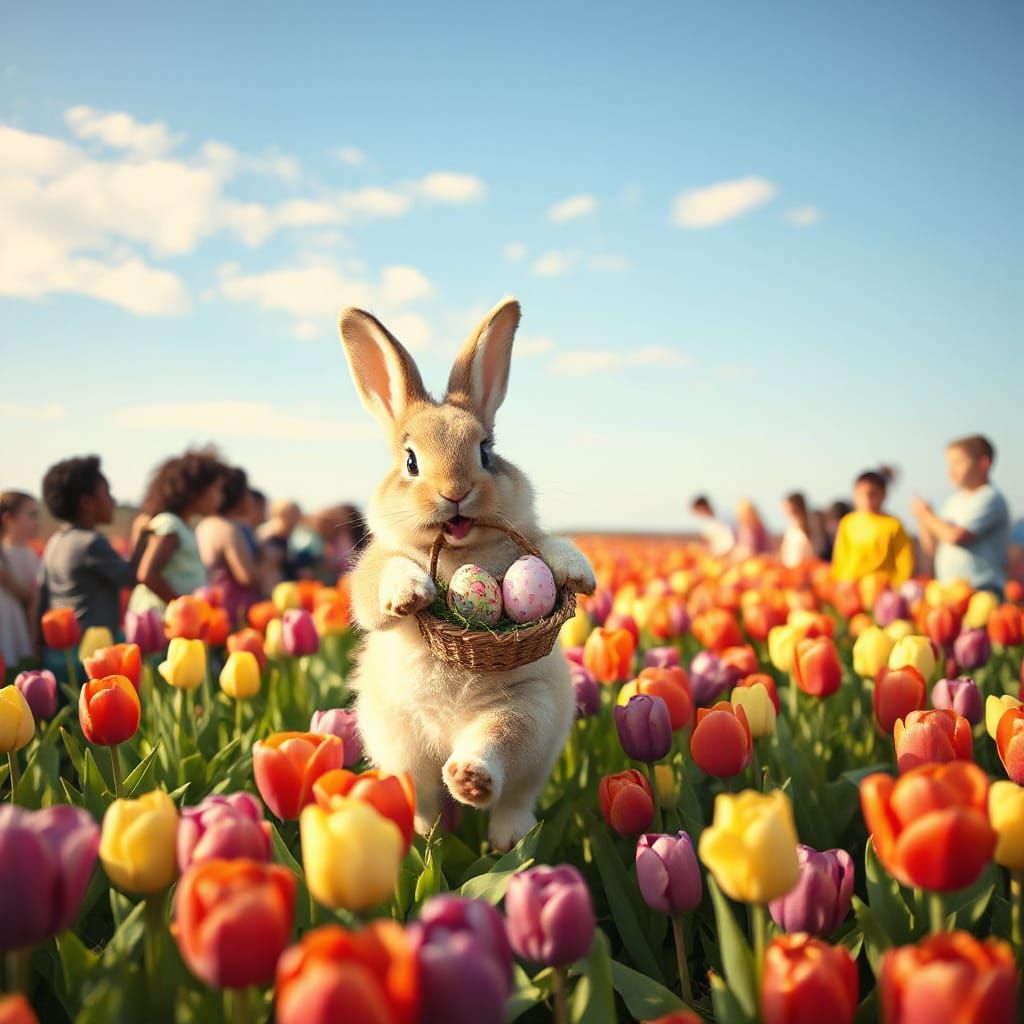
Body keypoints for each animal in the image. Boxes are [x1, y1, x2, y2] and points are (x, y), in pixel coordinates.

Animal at [336, 297, 596, 850]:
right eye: (411, 461)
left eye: (486, 451)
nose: (455, 491)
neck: (459, 551)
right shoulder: (372, 569)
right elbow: (378, 588)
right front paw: (408, 594)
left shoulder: (532, 540)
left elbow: (552, 546)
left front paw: (581, 577)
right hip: (401, 746)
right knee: (426, 798)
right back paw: (428, 834)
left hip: (527, 715)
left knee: (501, 770)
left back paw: (487, 809)